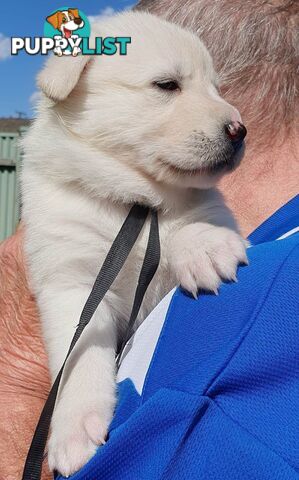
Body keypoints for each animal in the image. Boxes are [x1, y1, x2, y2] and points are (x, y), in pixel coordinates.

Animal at [21, 11, 248, 476]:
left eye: (217, 89)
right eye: (167, 85)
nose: (240, 130)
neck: (133, 201)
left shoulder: (206, 208)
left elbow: (195, 221)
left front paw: (206, 248)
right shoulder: (70, 281)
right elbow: (78, 361)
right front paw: (74, 432)